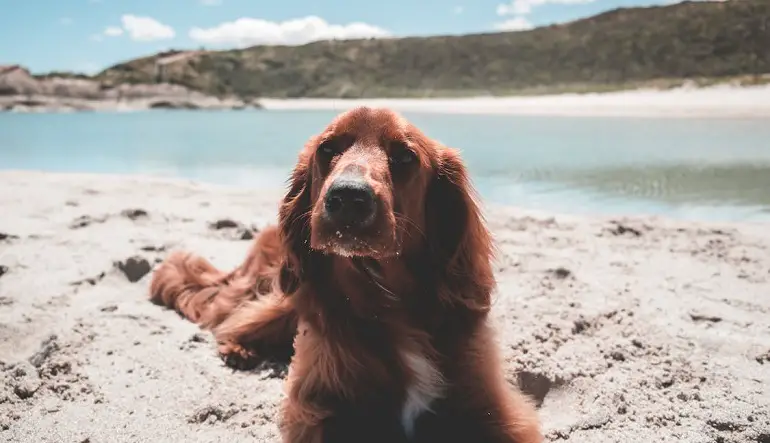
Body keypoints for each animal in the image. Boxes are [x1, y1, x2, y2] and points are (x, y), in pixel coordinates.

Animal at [150, 106, 540, 442]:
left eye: (405, 156)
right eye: (327, 149)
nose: (348, 198)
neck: (385, 297)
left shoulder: (495, 410)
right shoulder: (315, 406)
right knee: (231, 319)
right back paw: (238, 348)